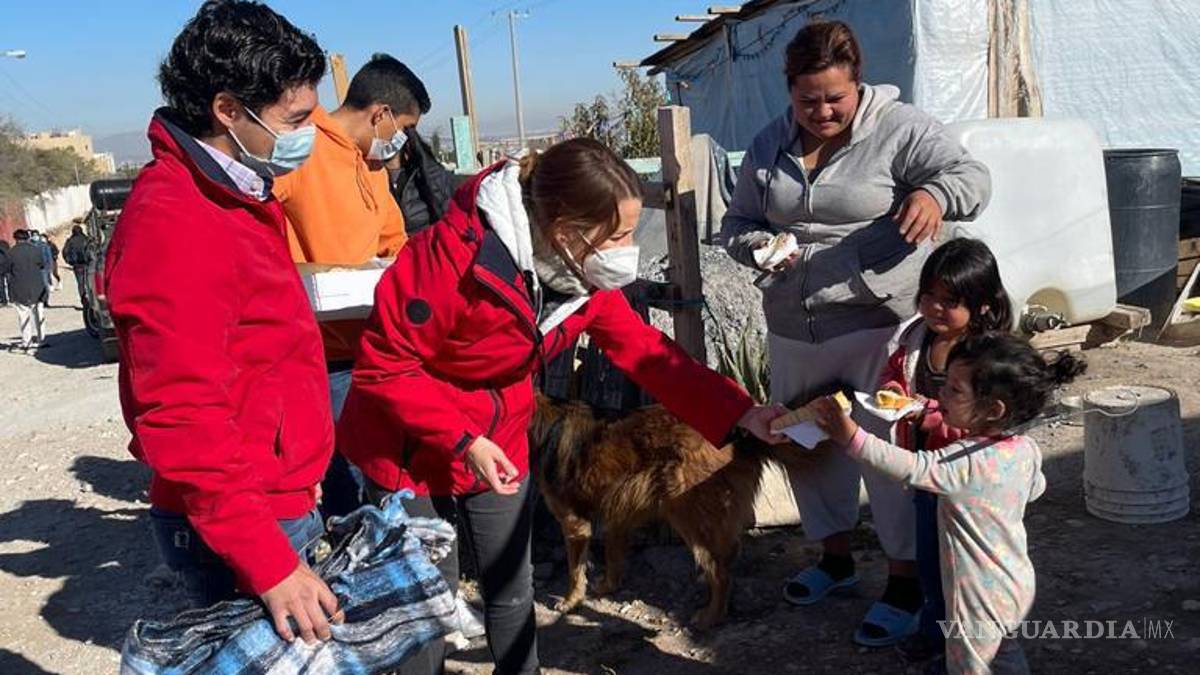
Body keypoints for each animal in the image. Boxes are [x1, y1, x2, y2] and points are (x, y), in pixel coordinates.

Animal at [529, 393, 812, 629]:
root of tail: (738, 434)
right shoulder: (618, 513)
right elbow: (613, 556)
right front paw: (609, 585)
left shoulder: (573, 522)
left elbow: (574, 570)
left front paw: (571, 600)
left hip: (689, 517)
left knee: (720, 573)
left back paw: (710, 617)